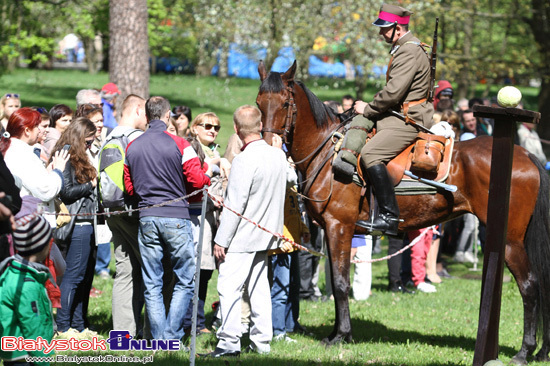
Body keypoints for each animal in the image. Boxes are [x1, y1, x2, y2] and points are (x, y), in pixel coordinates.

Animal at [256, 61, 550, 364]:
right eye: (259, 102)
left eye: (285, 102)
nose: (268, 144)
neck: (328, 153)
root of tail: (526, 155)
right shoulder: (330, 230)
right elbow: (338, 281)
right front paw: (337, 332)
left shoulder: (340, 227)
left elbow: (339, 283)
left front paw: (342, 335)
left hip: (511, 242)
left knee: (530, 286)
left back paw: (524, 351)